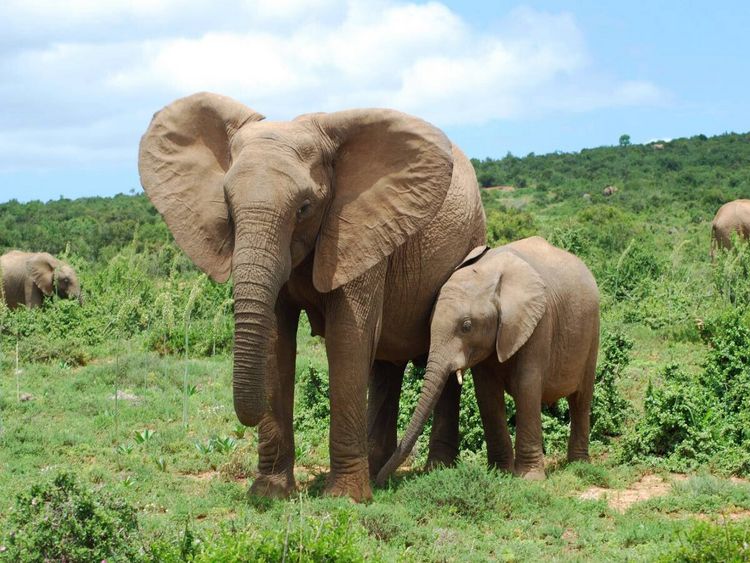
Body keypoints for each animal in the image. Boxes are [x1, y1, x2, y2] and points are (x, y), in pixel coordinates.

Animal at [138, 92, 486, 501]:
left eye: (304, 208)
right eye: (227, 207)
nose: (246, 418)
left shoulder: (357, 230)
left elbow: (347, 340)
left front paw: (345, 499)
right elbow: (276, 341)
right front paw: (270, 493)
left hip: (471, 238)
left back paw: (433, 471)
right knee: (386, 363)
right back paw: (377, 468)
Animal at [376, 236, 599, 485]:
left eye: (466, 326)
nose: (378, 480)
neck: (488, 272)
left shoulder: (539, 322)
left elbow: (527, 386)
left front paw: (530, 480)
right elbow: (487, 393)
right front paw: (500, 473)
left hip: (592, 331)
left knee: (581, 399)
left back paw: (579, 464)